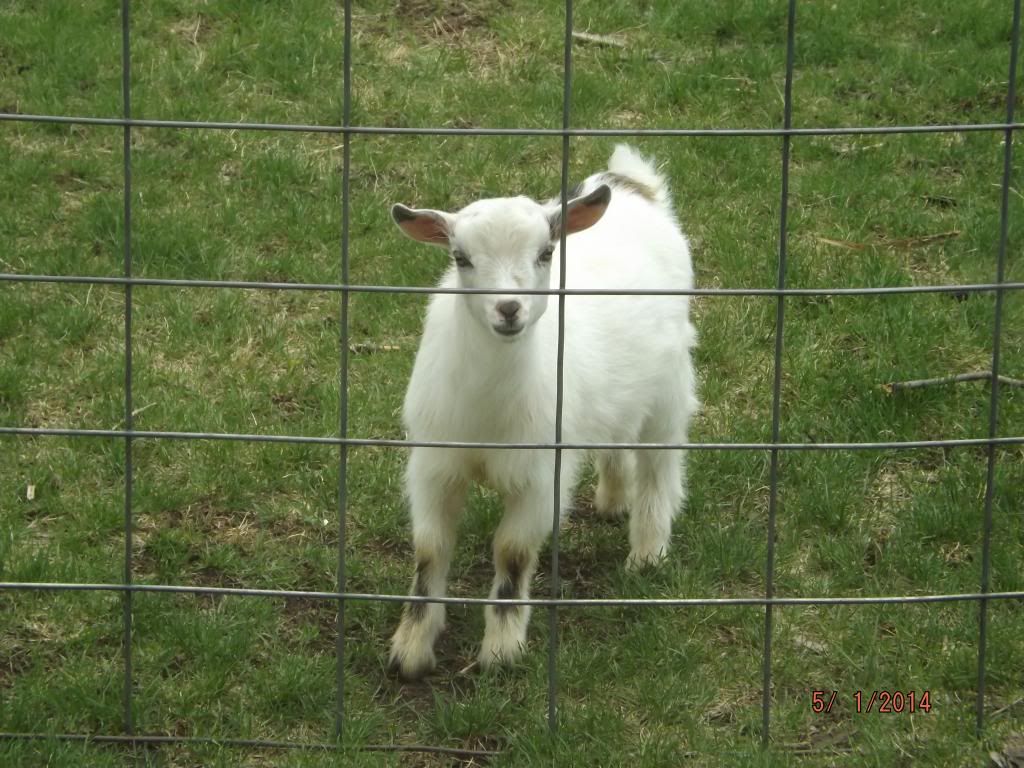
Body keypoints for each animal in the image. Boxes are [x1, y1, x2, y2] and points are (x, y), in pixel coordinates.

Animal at [387, 144, 698, 679]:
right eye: (461, 257)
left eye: (546, 253)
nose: (508, 309)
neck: (489, 413)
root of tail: (632, 185)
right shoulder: (434, 464)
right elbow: (429, 549)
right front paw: (410, 650)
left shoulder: (539, 476)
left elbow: (511, 553)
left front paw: (501, 650)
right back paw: (613, 499)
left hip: (670, 383)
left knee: (660, 461)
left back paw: (647, 552)